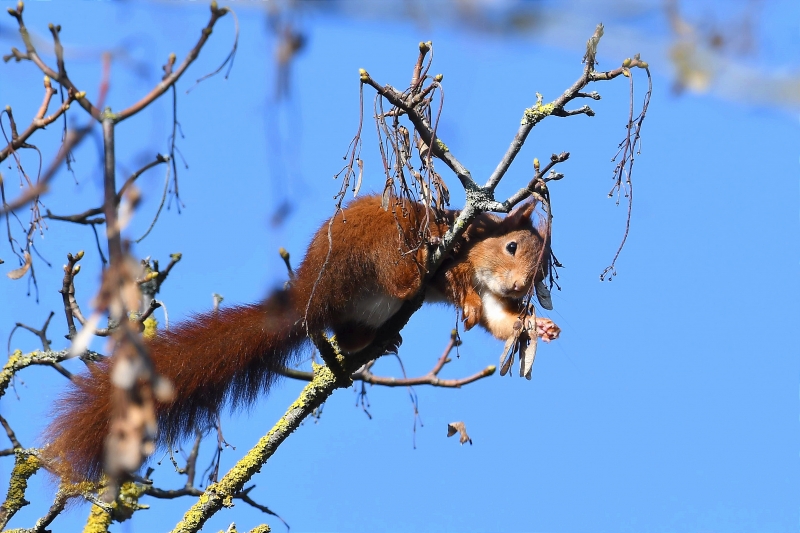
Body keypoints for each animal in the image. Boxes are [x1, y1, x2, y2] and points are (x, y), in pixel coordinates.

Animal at [40, 193, 560, 480]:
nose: (521, 288)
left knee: (345, 333)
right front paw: (469, 304)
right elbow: (460, 284)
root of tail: (311, 286)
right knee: (397, 278)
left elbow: (498, 319)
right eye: (511, 246)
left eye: (539, 274)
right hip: (381, 244)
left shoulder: (492, 293)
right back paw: (409, 281)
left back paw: (373, 342)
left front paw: (537, 326)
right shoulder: (455, 254)